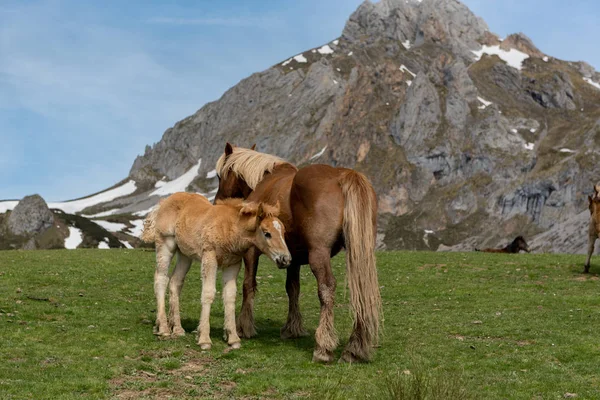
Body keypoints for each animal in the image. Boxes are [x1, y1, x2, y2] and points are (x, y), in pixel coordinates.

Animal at [141, 192, 290, 348]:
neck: (229, 228)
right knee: (161, 279)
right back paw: (163, 328)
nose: (285, 259)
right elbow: (208, 293)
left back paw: (177, 329)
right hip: (165, 244)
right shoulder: (209, 257)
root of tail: (163, 203)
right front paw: (204, 338)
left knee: (175, 282)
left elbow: (230, 296)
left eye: (283, 231)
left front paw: (233, 338)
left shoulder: (233, 264)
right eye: (267, 233)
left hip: (185, 254)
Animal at [212, 143, 380, 362]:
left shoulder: (252, 251)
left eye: (219, 175)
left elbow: (248, 285)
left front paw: (244, 327)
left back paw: (323, 347)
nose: (217, 202)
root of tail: (343, 175)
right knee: (359, 289)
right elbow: (292, 288)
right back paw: (354, 348)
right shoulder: (293, 257)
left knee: (327, 288)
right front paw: (292, 328)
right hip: (359, 252)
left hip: (319, 253)